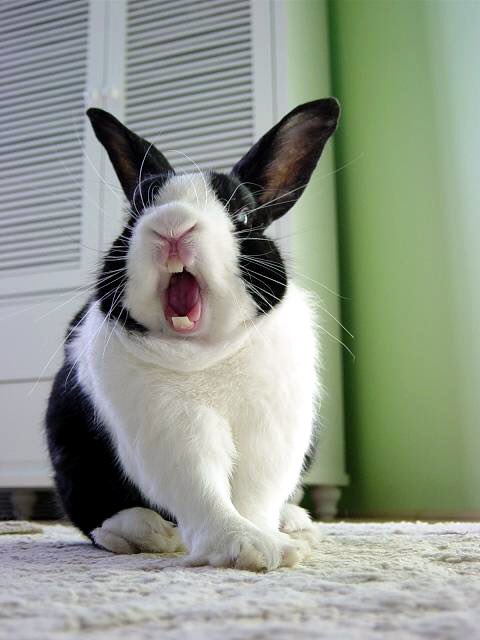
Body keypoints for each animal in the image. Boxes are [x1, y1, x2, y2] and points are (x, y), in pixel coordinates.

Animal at [45, 98, 340, 570]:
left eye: (242, 215)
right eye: (136, 215)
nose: (172, 225)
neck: (206, 352)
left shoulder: (272, 431)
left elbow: (256, 494)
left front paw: (271, 542)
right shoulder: (172, 429)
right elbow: (202, 488)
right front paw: (246, 547)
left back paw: (295, 522)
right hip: (69, 446)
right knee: (88, 508)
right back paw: (141, 531)